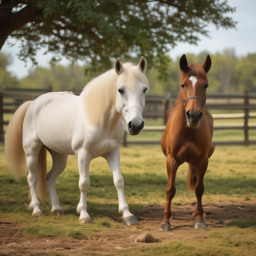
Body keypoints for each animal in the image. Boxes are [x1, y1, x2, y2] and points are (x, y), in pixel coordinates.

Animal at [5, 57, 149, 225]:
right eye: (120, 90)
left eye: (144, 90)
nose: (136, 125)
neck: (100, 120)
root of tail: (33, 103)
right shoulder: (83, 155)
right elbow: (84, 184)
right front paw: (84, 215)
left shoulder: (113, 152)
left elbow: (119, 181)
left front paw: (127, 215)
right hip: (32, 151)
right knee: (32, 179)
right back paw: (37, 210)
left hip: (60, 157)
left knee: (50, 178)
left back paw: (57, 209)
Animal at [161, 55, 215, 231]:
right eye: (183, 85)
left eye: (205, 85)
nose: (193, 115)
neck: (189, 132)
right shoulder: (171, 160)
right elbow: (170, 190)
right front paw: (165, 221)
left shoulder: (202, 161)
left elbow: (199, 189)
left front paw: (199, 219)